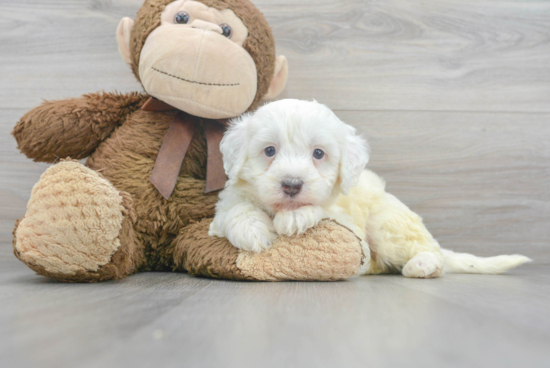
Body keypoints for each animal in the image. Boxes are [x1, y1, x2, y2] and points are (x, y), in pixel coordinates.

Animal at [210, 99, 532, 278]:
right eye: (269, 151)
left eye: (318, 154)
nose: (291, 184)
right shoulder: (225, 205)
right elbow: (235, 210)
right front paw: (252, 230)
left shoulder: (346, 219)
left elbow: (320, 210)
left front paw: (296, 216)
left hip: (386, 223)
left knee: (431, 251)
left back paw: (422, 265)